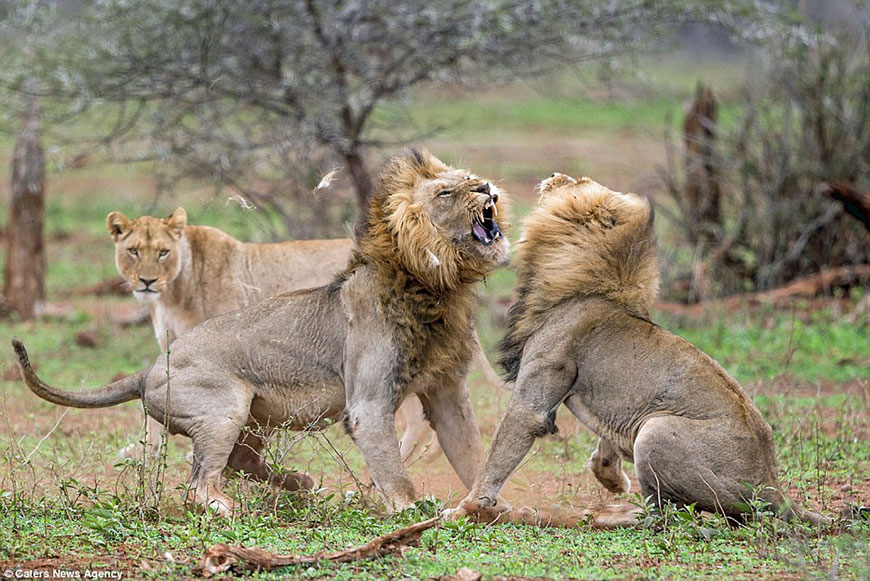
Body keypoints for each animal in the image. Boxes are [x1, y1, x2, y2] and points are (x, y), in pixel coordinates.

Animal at [11, 150, 510, 516]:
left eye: (473, 179)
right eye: (446, 191)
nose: (487, 188)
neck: (438, 287)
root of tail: (150, 368)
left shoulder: (447, 390)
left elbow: (472, 453)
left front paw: (490, 507)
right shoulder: (368, 403)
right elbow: (394, 470)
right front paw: (414, 511)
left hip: (252, 416)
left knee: (238, 462)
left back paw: (299, 484)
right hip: (225, 405)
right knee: (201, 481)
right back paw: (226, 505)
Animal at [450, 172, 832, 524]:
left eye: (578, 181)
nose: (555, 175)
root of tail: (773, 487)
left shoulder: (537, 390)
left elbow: (498, 455)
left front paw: (465, 509)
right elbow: (605, 440)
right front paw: (610, 477)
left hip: (656, 432)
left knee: (665, 516)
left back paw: (606, 516)